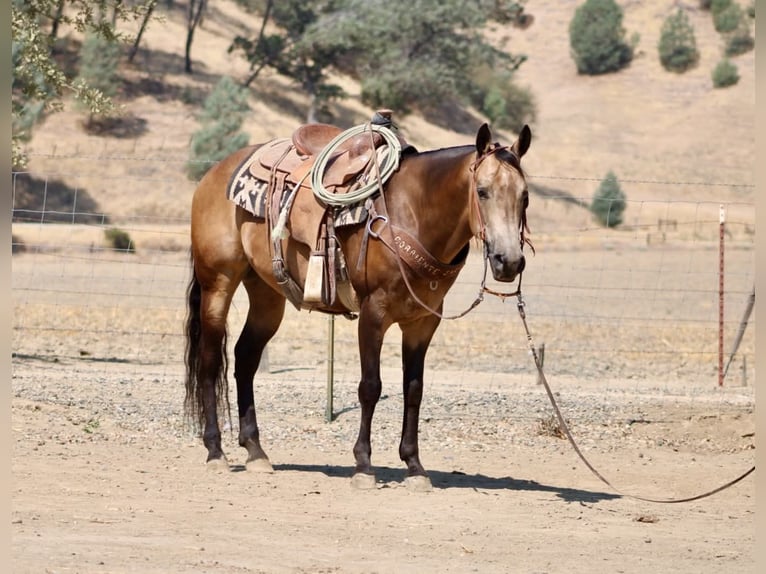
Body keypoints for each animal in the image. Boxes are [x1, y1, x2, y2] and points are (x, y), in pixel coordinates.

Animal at [184, 119, 532, 490]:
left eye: (524, 196)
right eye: (482, 191)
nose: (509, 261)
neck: (412, 212)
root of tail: (213, 174)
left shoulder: (422, 322)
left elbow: (414, 389)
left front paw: (414, 466)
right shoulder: (373, 313)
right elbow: (370, 386)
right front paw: (363, 465)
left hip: (266, 295)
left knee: (246, 358)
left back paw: (255, 451)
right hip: (218, 284)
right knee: (209, 361)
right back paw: (215, 451)